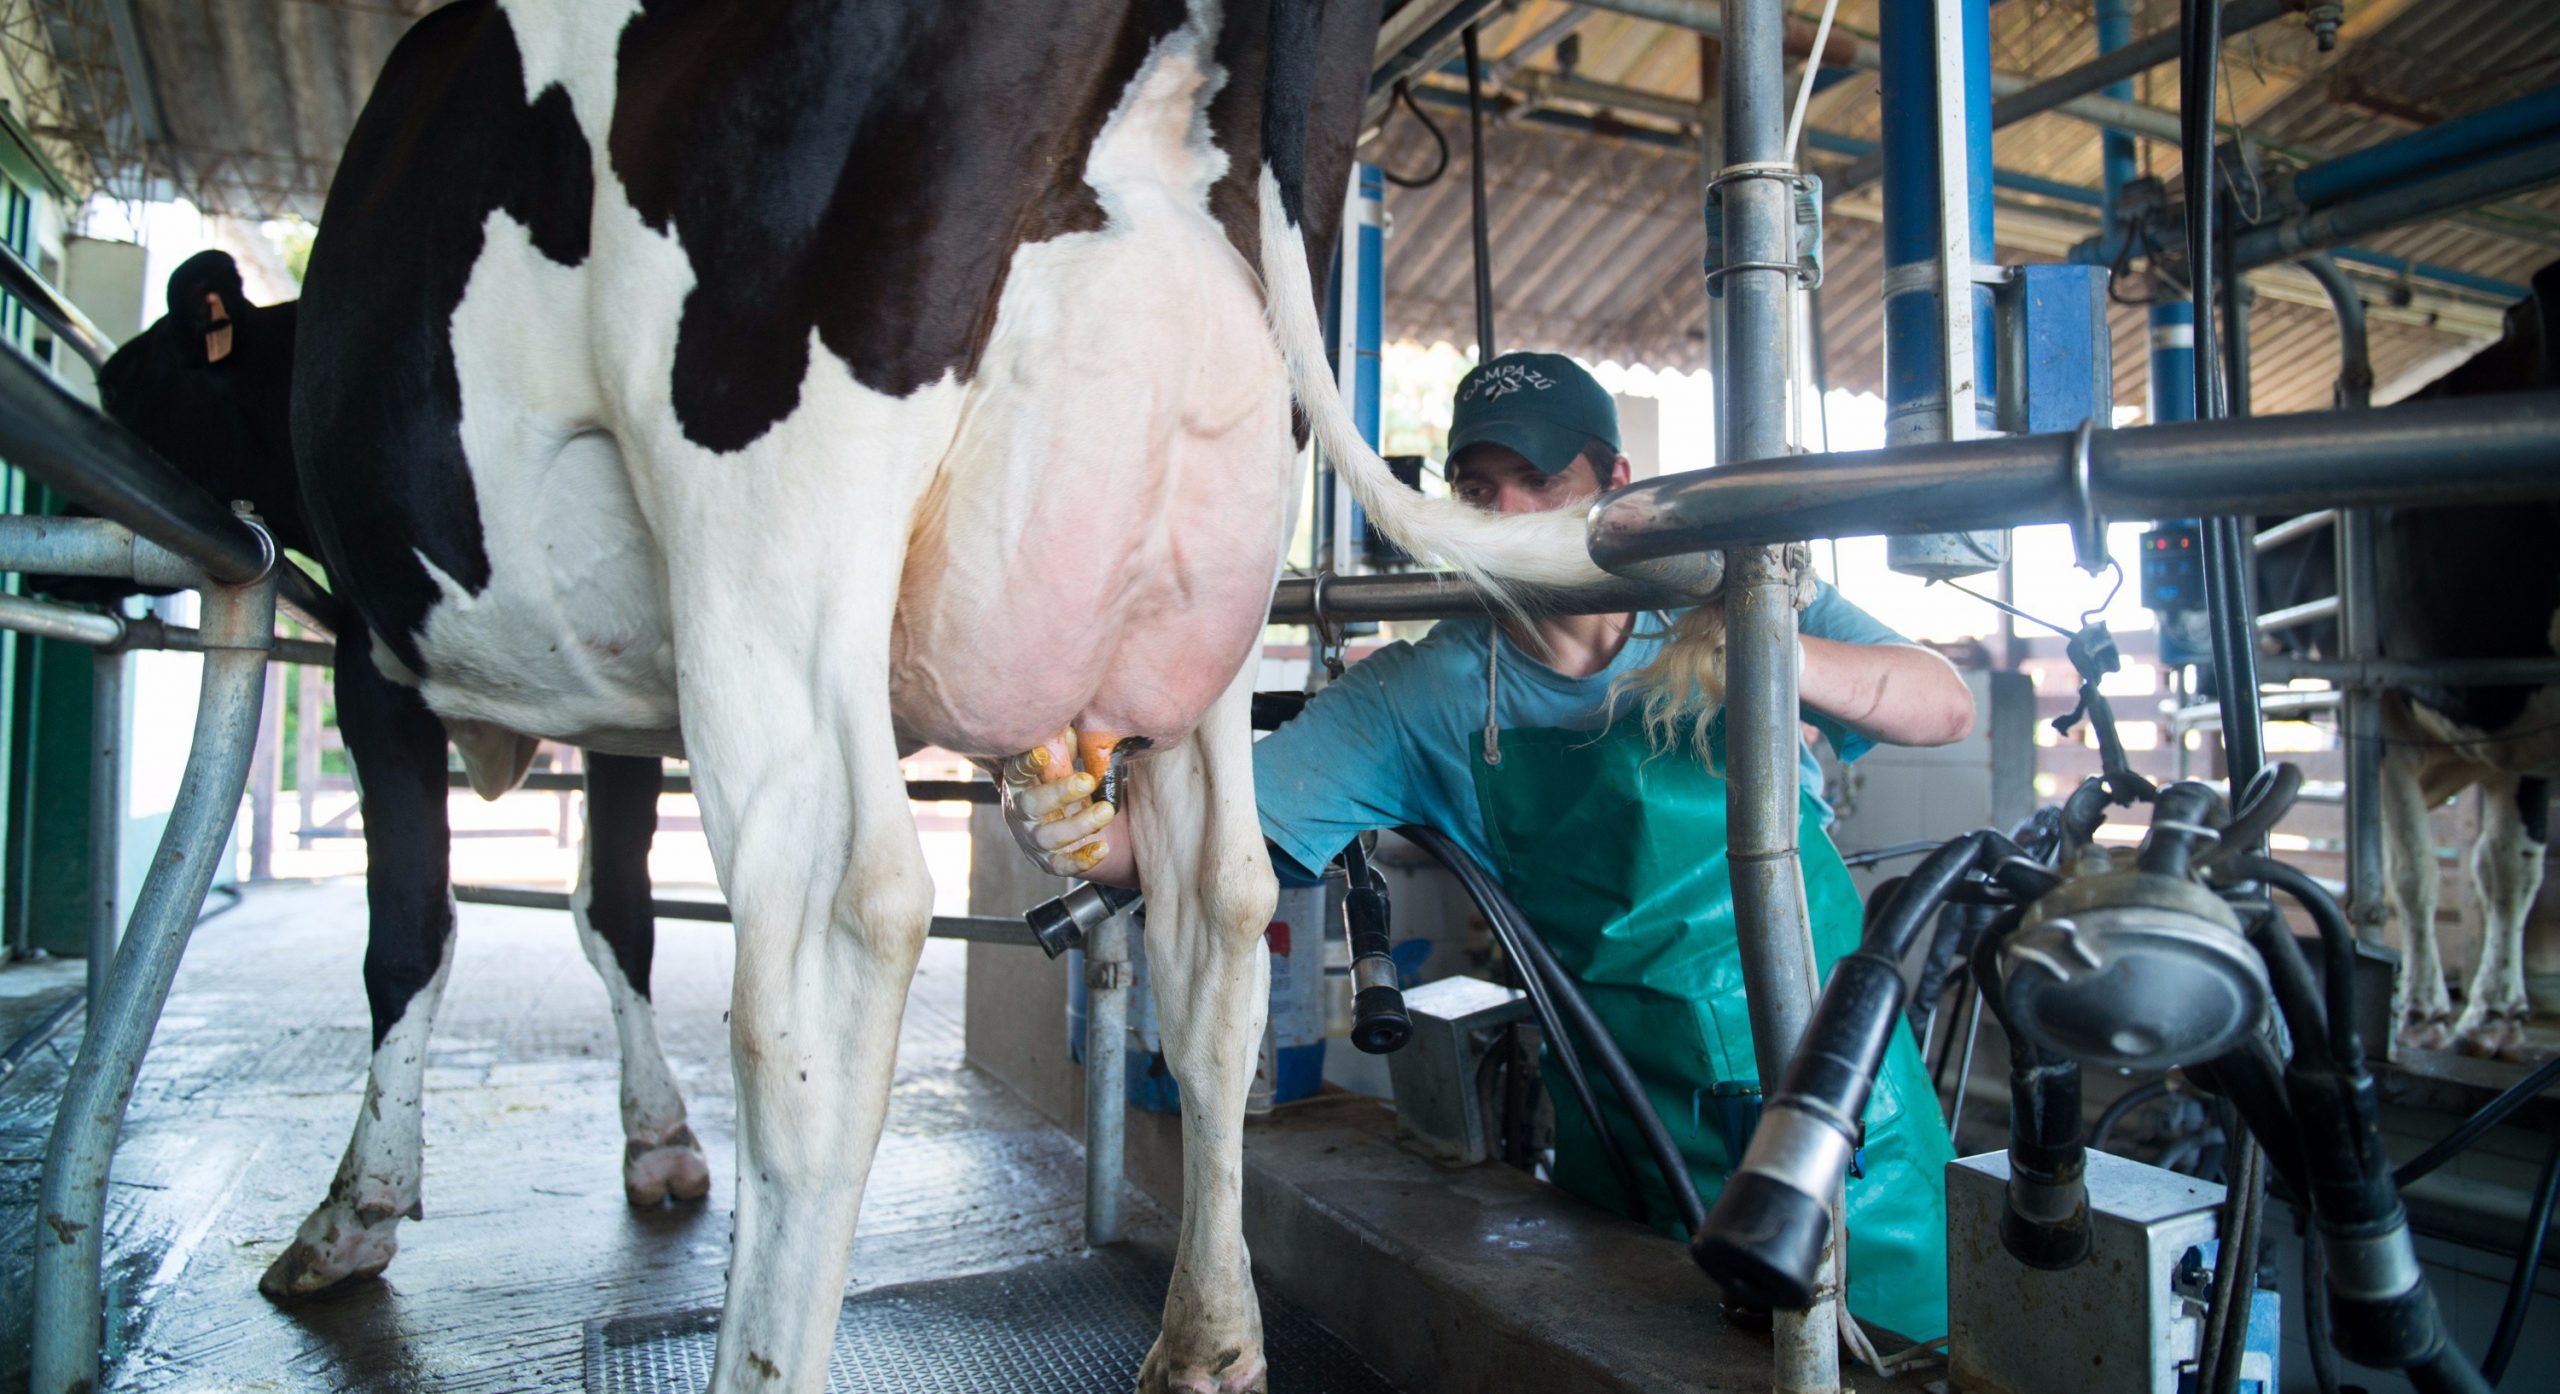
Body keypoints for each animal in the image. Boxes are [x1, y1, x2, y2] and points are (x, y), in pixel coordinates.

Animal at [285, 5, 1617, 1381]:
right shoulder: (611, 721)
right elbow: (613, 907)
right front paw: (651, 1144)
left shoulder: (368, 653)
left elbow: (412, 931)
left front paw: (356, 1208)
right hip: (1225, 596)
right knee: (1221, 911)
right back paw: (1206, 1339)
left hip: (764, 533)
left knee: (829, 951)